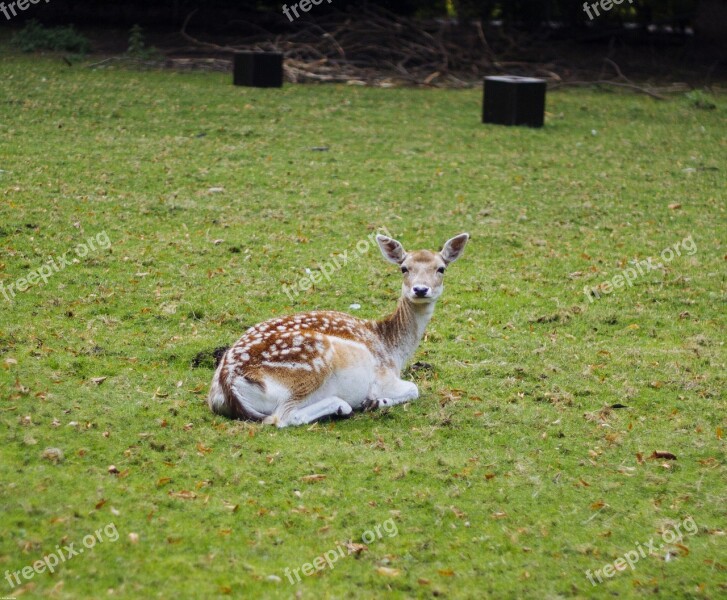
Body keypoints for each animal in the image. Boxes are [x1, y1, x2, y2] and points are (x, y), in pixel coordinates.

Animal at [208, 231, 470, 426]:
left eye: (441, 268)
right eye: (404, 268)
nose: (420, 289)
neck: (393, 350)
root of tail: (228, 385)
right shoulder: (383, 378)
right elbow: (414, 388)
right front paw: (375, 402)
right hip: (312, 364)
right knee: (282, 417)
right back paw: (342, 406)